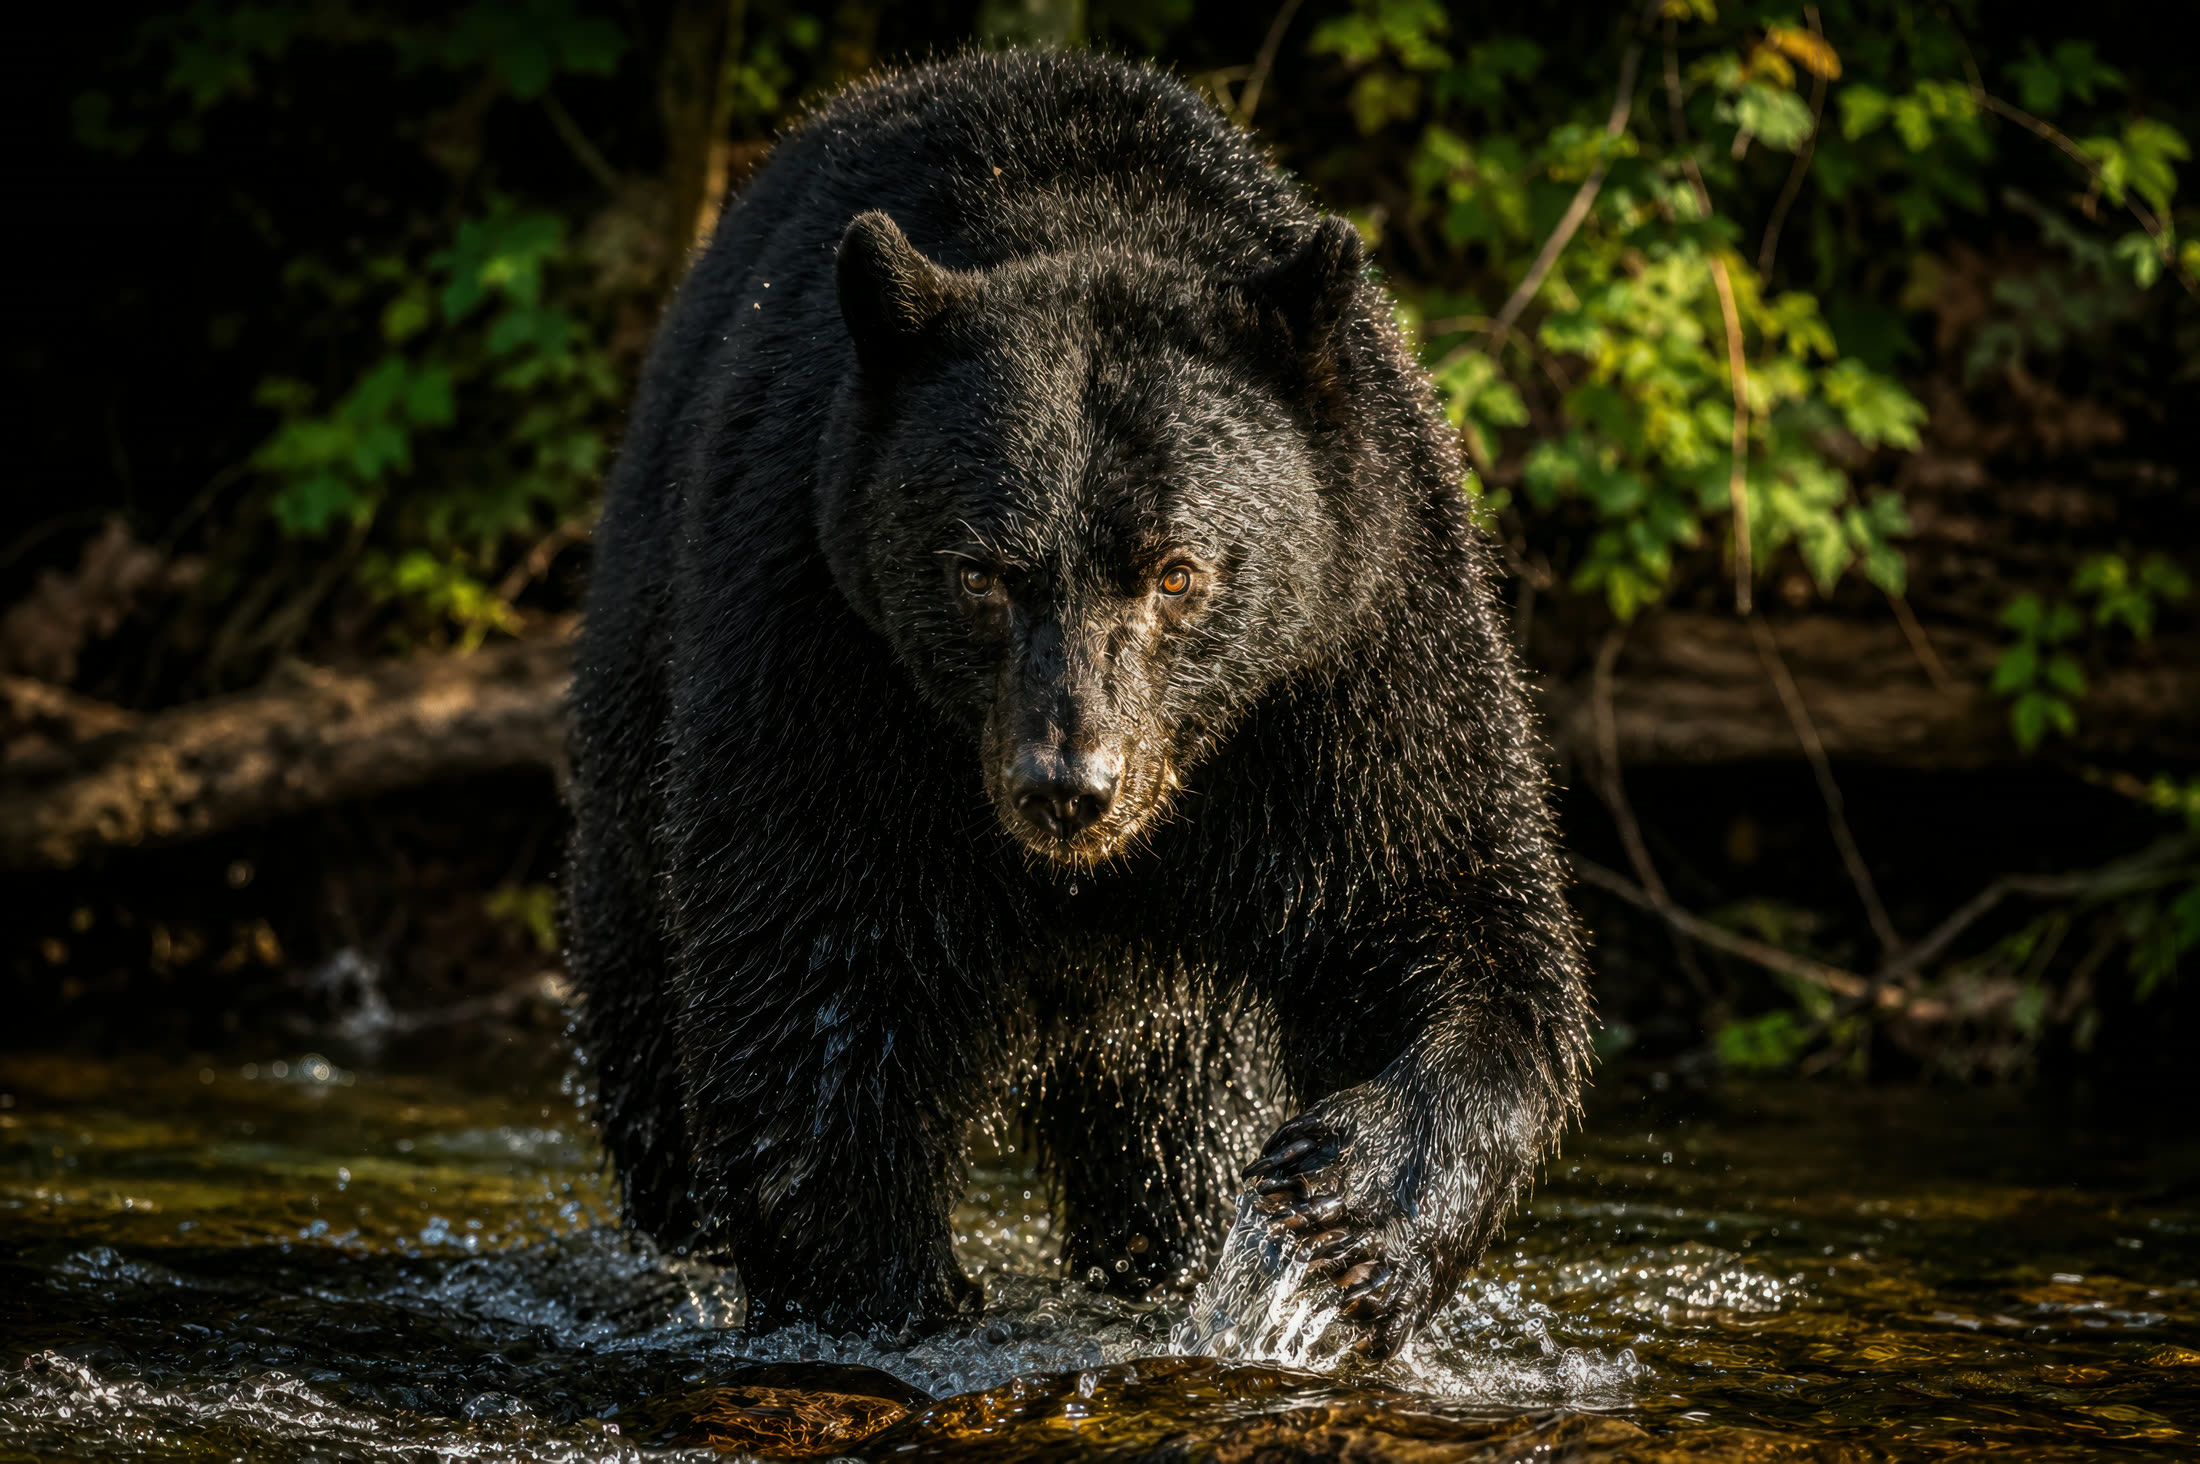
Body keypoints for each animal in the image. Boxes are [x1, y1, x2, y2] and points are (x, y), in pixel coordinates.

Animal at [566, 47, 1592, 1360]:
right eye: (981, 573)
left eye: (1176, 570)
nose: (1068, 787)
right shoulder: (818, 642)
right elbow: (811, 976)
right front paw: (887, 1298)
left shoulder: (1352, 640)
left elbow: (1444, 903)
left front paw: (1344, 1219)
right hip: (637, 733)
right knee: (653, 1047)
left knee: (1171, 1128)